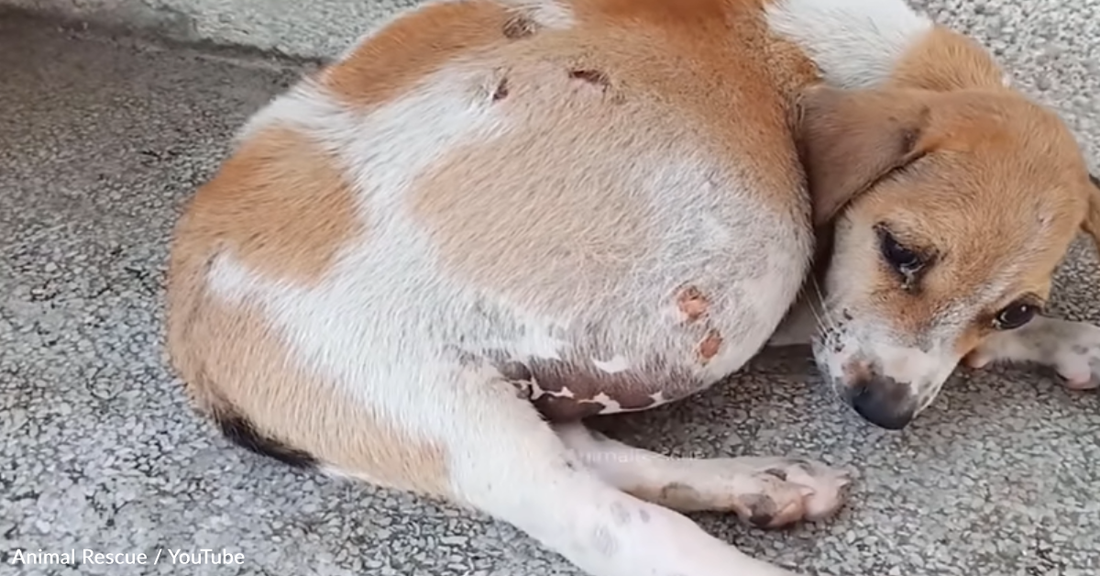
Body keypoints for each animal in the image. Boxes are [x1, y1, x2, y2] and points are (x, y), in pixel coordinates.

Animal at [165, 1, 1100, 576]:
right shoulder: (814, 273)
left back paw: (761, 486)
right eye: (901, 252)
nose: (886, 416)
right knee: (617, 530)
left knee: (592, 451)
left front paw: (1068, 341)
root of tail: (191, 340)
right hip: (443, 408)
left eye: (1015, 304)